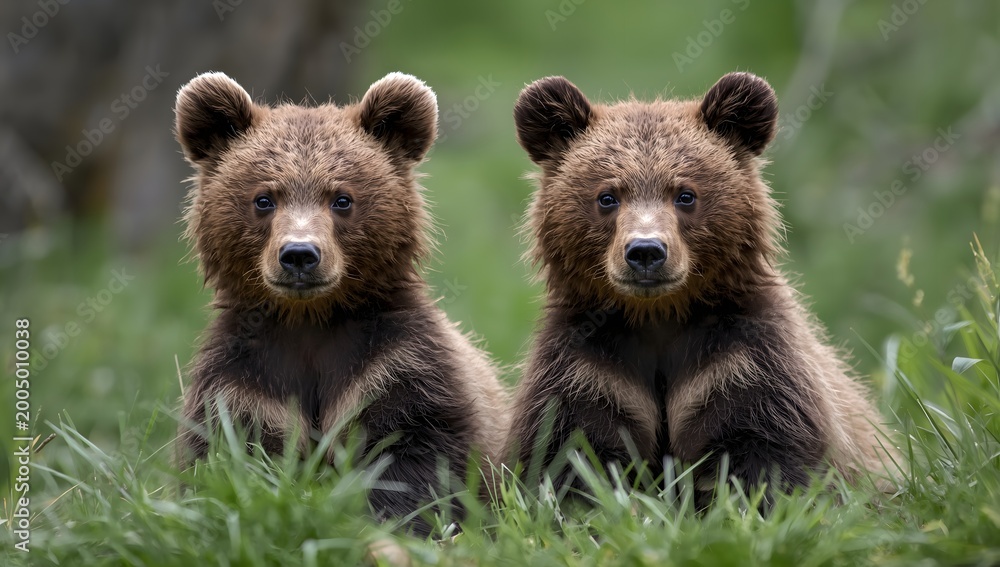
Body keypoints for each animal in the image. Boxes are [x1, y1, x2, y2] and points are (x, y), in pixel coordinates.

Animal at [173, 71, 509, 534]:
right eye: (264, 198)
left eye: (342, 198)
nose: (299, 254)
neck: (309, 319)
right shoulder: (244, 384)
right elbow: (229, 457)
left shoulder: (392, 367)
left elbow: (415, 454)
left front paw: (403, 521)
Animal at [507, 71, 898, 504]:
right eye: (607, 196)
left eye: (685, 194)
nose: (646, 251)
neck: (657, 315)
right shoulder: (588, 367)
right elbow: (572, 454)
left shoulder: (742, 363)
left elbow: (764, 455)